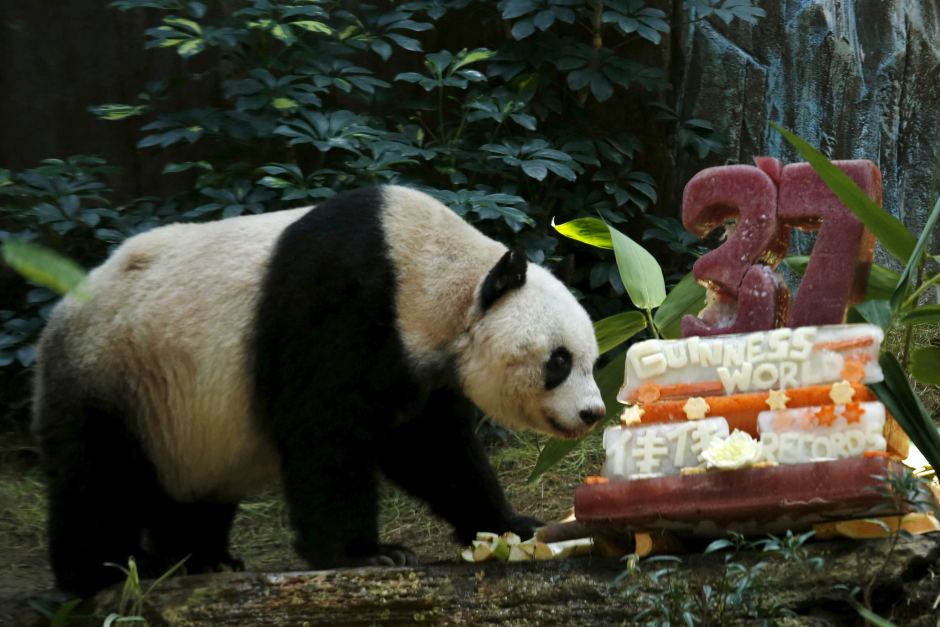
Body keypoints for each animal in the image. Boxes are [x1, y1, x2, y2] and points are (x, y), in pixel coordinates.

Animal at [32, 185, 605, 596]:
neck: (428, 271)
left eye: (591, 358)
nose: (592, 413)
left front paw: (513, 527)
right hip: (116, 371)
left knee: (185, 492)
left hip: (179, 416)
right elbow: (326, 434)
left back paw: (201, 557)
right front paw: (366, 555)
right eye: (559, 361)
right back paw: (101, 572)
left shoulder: (416, 365)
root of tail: (57, 316)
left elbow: (432, 450)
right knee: (97, 476)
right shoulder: (338, 304)